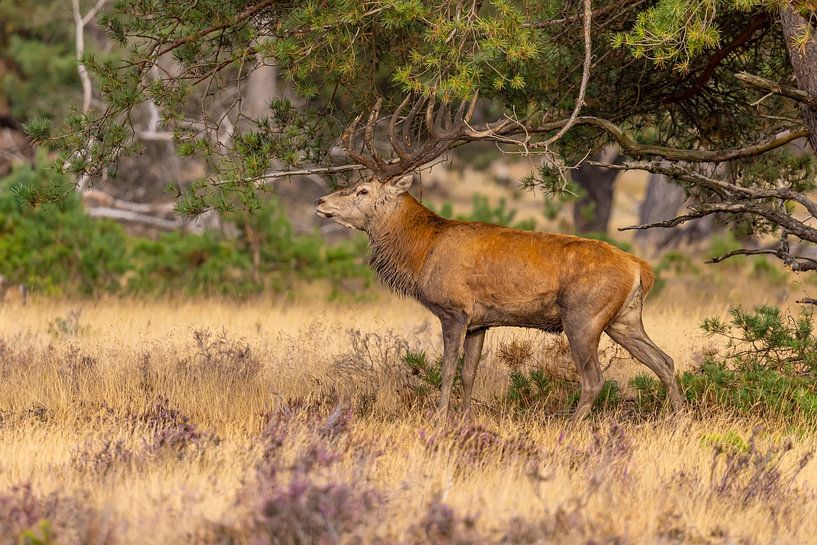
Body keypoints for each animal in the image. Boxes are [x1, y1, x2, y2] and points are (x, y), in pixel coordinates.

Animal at [314, 95, 684, 424]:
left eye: (363, 190)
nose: (320, 201)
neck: (422, 253)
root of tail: (641, 268)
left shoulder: (454, 309)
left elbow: (447, 370)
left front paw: (439, 419)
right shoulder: (480, 321)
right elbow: (469, 373)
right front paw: (464, 419)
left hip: (583, 314)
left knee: (594, 379)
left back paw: (569, 427)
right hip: (624, 318)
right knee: (665, 362)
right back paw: (676, 421)